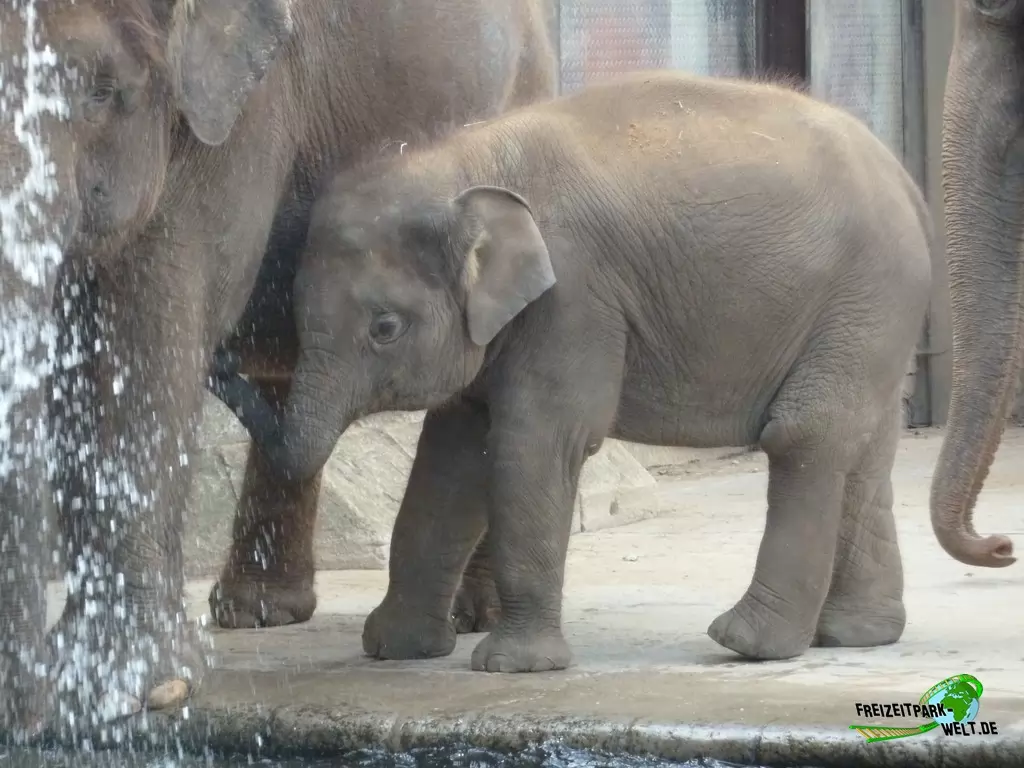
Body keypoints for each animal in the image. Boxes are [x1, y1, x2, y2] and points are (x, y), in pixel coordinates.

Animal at [0, 0, 555, 731]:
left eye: (101, 91)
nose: (23, 711)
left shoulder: (234, 117)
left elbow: (138, 329)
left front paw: (132, 691)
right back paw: (257, 612)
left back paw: (476, 616)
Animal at [224, 70, 934, 671]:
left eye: (384, 329)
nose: (224, 361)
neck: (464, 162)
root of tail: (907, 180)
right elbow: (451, 457)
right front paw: (395, 651)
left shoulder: (575, 298)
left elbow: (535, 441)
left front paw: (512, 667)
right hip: (871, 317)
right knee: (864, 449)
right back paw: (854, 635)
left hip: (866, 296)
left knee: (806, 435)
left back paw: (747, 643)